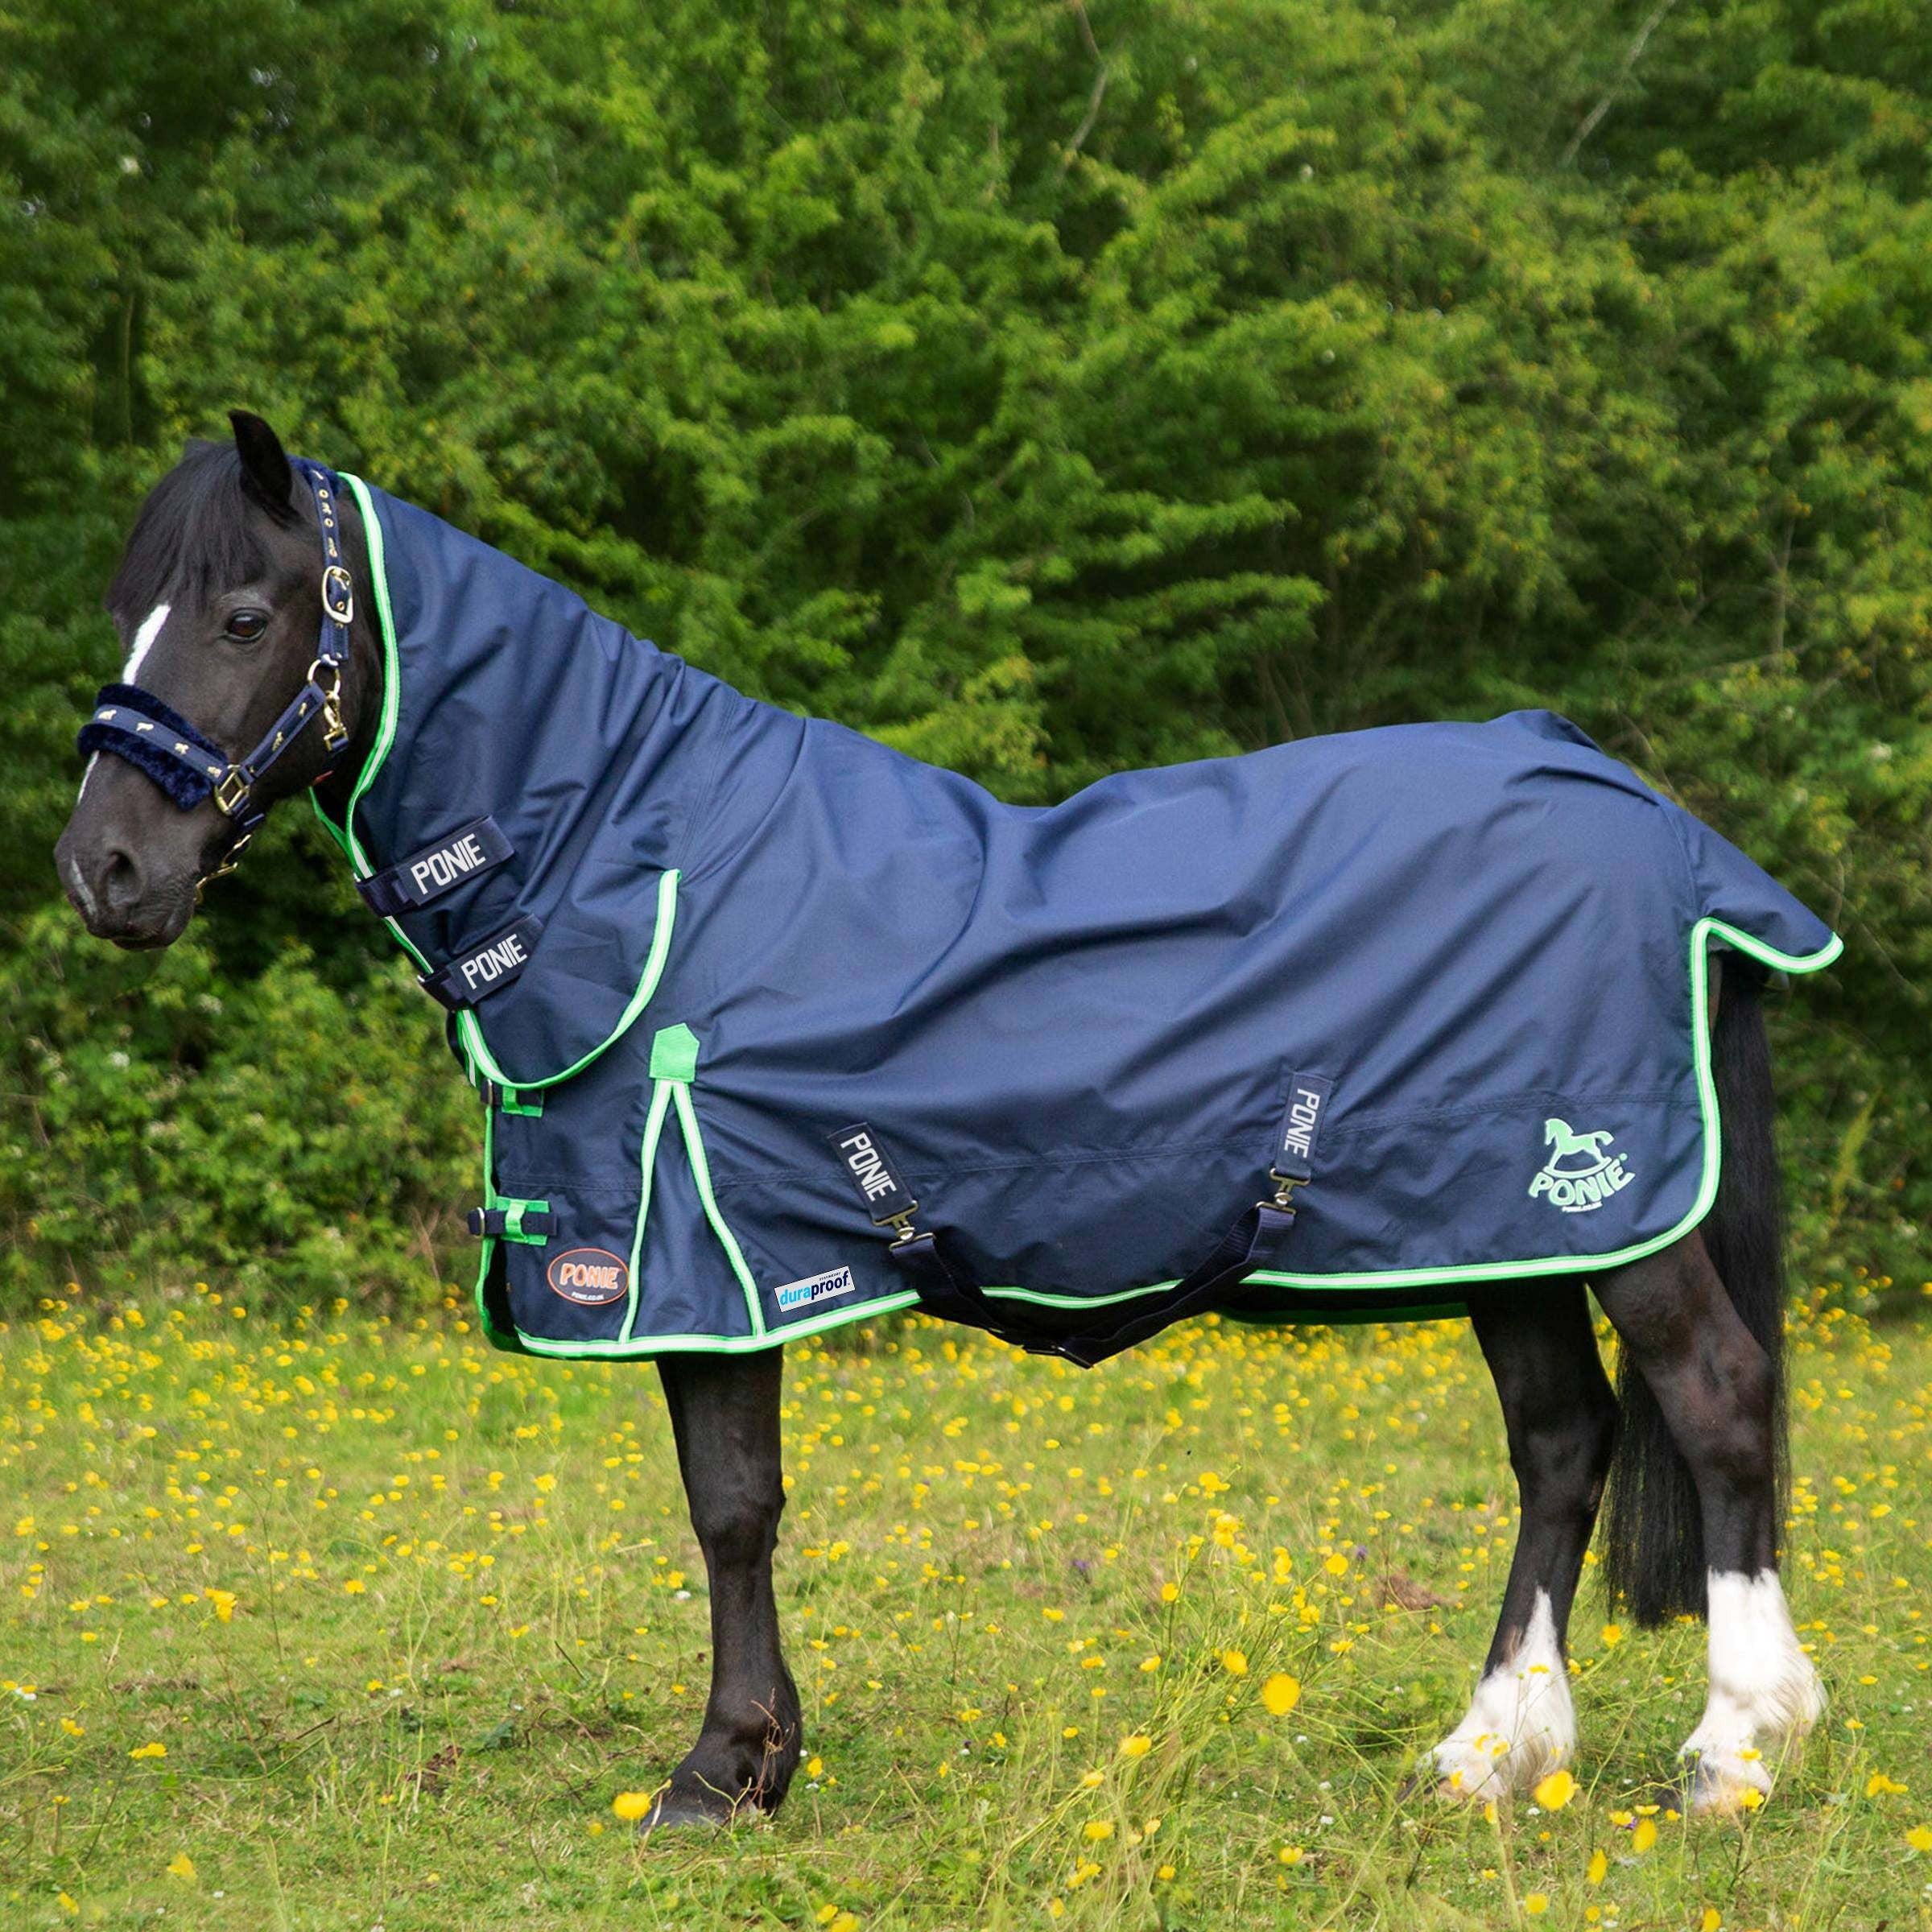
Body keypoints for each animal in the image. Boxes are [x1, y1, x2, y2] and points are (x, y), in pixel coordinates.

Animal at [55, 413, 1835, 1827]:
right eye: (128, 608)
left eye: (243, 611)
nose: (104, 871)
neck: (638, 867)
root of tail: (1629, 797)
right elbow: (735, 1510)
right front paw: (759, 1761)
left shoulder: (707, 1261)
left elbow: (732, 1509)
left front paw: (723, 1771)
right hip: (1492, 1226)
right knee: (1563, 1442)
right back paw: (1489, 1755)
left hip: (1600, 1207)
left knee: (1717, 1401)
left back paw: (1735, 1752)